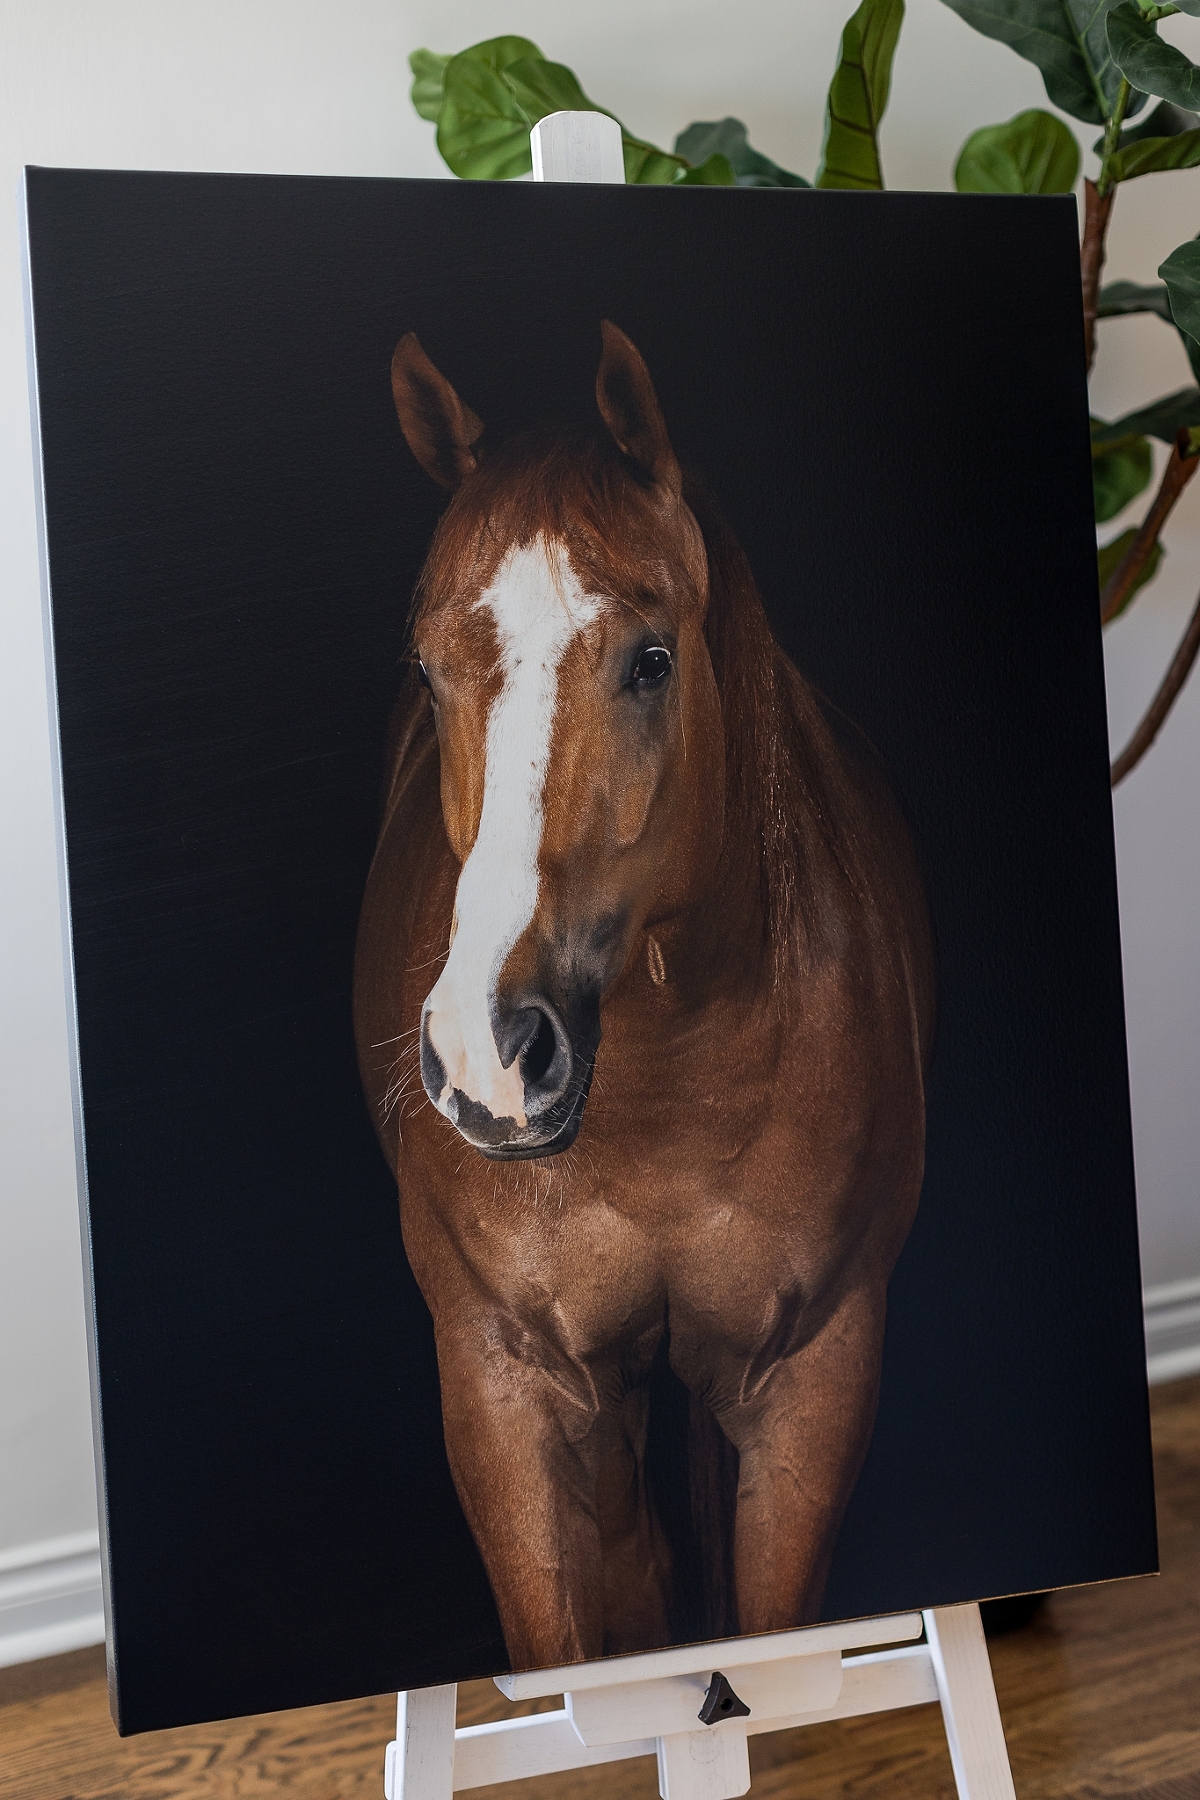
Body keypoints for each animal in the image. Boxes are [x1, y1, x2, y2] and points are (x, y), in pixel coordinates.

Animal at [352, 320, 935, 1670]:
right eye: (428, 670)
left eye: (652, 659)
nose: (489, 1055)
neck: (668, 1089)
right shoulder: (509, 1386)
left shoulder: (809, 1377)